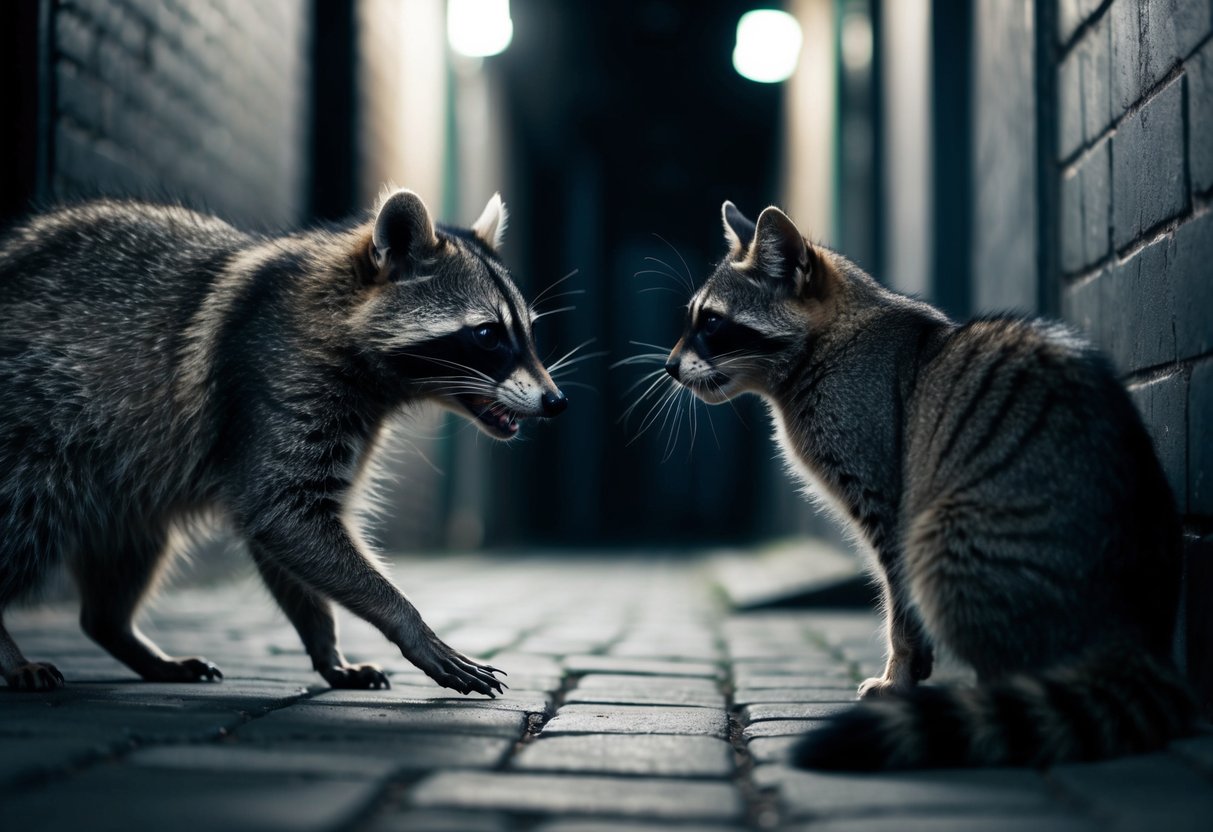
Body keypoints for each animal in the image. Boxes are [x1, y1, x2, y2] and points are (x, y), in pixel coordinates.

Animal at [0, 189, 566, 694]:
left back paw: (120, 633)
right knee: (24, 518)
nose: (556, 401)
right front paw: (408, 623)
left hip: (124, 481)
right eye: (488, 334)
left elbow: (284, 529)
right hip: (36, 427)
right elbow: (282, 512)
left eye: (529, 332)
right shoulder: (272, 378)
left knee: (129, 553)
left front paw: (326, 646)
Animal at [662, 200, 1197, 768]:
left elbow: (900, 601)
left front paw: (900, 671)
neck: (827, 342)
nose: (669, 366)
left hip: (947, 530)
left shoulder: (883, 485)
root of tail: (1137, 632)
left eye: (711, 323)